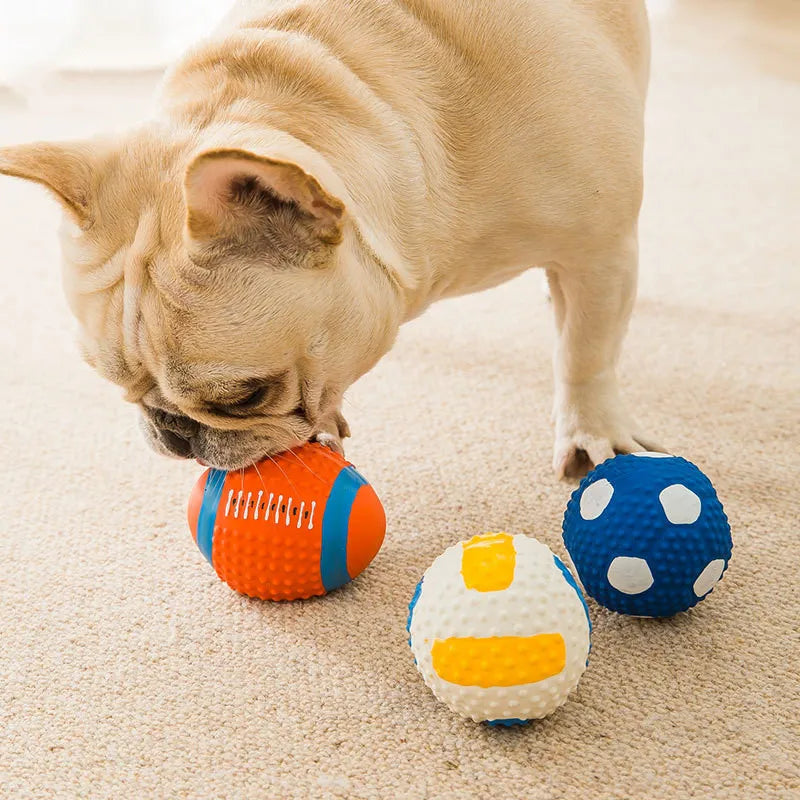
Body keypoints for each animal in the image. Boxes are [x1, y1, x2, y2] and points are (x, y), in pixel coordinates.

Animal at [0, 0, 656, 478]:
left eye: (244, 397)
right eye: (115, 386)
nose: (175, 433)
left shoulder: (601, 254)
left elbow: (585, 352)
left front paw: (591, 431)